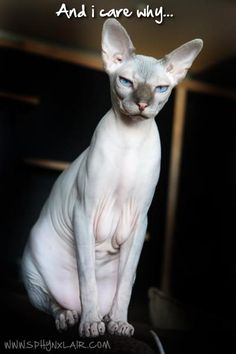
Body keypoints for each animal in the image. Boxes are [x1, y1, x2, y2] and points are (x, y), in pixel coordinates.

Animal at [22, 19, 203, 338]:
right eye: (126, 82)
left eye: (160, 89)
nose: (142, 104)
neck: (130, 141)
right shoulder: (84, 212)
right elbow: (87, 280)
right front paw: (90, 325)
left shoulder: (139, 221)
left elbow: (125, 286)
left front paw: (119, 323)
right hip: (31, 264)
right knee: (52, 301)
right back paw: (71, 316)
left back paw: (106, 317)